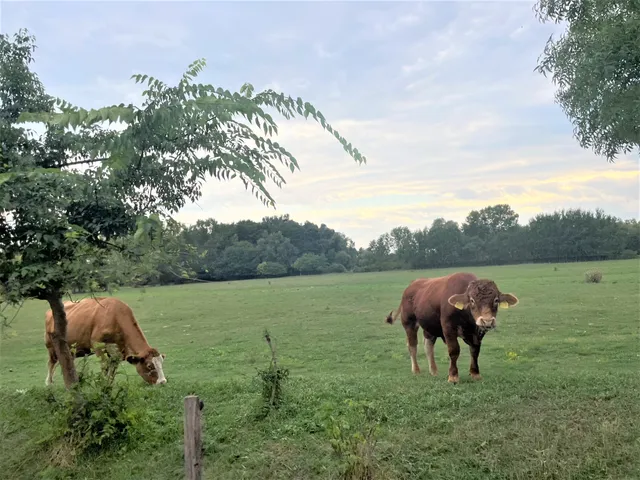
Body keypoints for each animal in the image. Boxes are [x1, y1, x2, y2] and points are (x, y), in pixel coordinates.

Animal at [382, 272, 516, 384]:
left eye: (496, 300)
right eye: (472, 300)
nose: (487, 321)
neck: (467, 317)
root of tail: (411, 285)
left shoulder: (477, 333)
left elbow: (475, 351)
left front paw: (475, 373)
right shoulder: (448, 328)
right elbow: (454, 350)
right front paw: (453, 376)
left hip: (429, 325)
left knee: (428, 345)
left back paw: (434, 371)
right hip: (409, 323)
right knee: (412, 345)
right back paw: (416, 370)